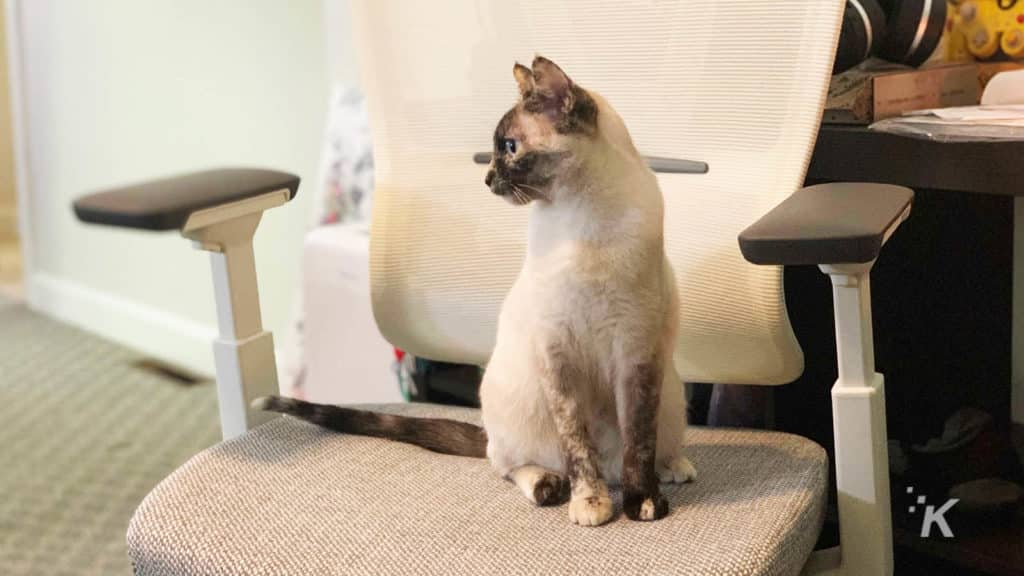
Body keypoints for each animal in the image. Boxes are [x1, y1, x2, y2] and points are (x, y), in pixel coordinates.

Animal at [253, 54, 696, 524]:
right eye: (498, 149)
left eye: (510, 147)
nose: (487, 178)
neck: (584, 218)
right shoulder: (558, 353)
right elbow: (578, 446)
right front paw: (591, 504)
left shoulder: (635, 351)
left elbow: (638, 441)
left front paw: (642, 502)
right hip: (517, 404)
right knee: (506, 462)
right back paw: (550, 485)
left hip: (670, 393)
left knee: (644, 447)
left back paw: (674, 467)